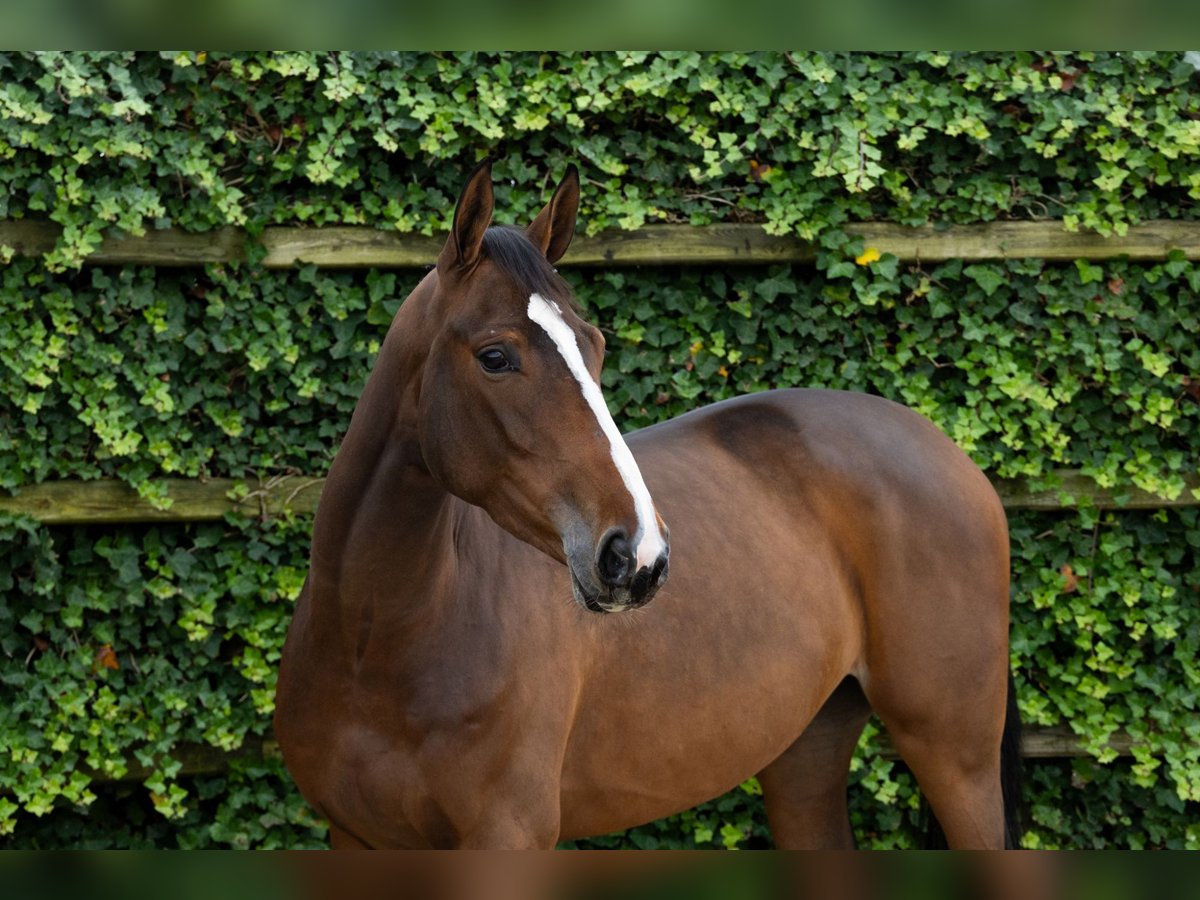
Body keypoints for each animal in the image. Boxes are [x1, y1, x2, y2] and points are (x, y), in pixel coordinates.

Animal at [274, 161, 1023, 849]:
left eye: (597, 345)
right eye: (494, 356)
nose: (637, 556)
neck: (377, 641)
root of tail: (951, 454)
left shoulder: (506, 840)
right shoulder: (356, 840)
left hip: (954, 758)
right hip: (804, 753)